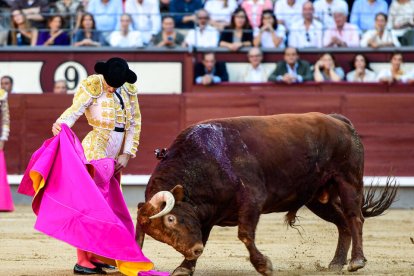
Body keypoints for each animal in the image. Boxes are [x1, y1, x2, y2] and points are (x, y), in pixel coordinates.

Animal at [136, 112, 398, 276]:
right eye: (159, 235)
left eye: (171, 218)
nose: (195, 250)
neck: (204, 160)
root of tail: (339, 120)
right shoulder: (208, 214)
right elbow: (206, 235)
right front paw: (184, 267)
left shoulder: (252, 200)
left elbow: (245, 235)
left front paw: (264, 266)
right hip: (317, 198)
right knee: (342, 223)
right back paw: (336, 263)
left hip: (348, 181)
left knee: (354, 218)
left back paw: (356, 261)